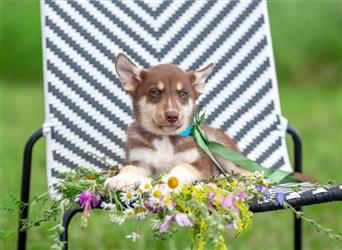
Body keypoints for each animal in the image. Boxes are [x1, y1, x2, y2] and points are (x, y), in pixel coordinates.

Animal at [105, 52, 248, 189]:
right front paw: (120, 178)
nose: (172, 116)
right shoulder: (139, 161)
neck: (165, 138)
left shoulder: (195, 164)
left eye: (183, 93)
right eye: (154, 92)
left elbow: (181, 168)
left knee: (245, 172)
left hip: (222, 151)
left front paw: (168, 180)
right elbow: (130, 168)